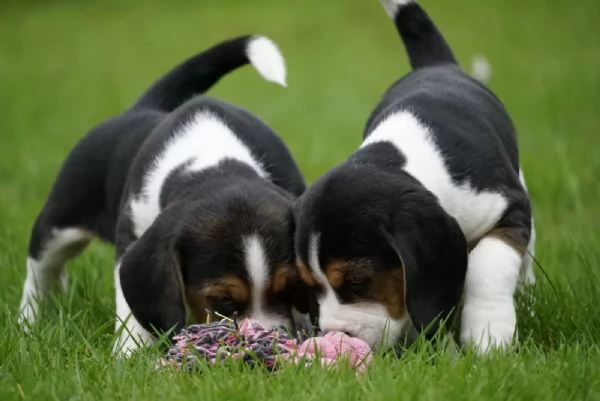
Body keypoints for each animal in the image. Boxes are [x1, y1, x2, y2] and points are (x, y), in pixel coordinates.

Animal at [17, 33, 318, 354]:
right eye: (223, 301)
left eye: (291, 288)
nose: (269, 343)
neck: (215, 164)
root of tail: (142, 108)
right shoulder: (132, 239)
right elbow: (131, 308)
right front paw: (130, 352)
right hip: (59, 220)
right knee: (41, 270)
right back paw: (29, 322)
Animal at [294, 0, 536, 354]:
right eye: (310, 286)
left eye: (357, 282)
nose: (335, 335)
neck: (398, 161)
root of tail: (437, 64)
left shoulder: (510, 207)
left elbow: (488, 264)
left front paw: (489, 335)